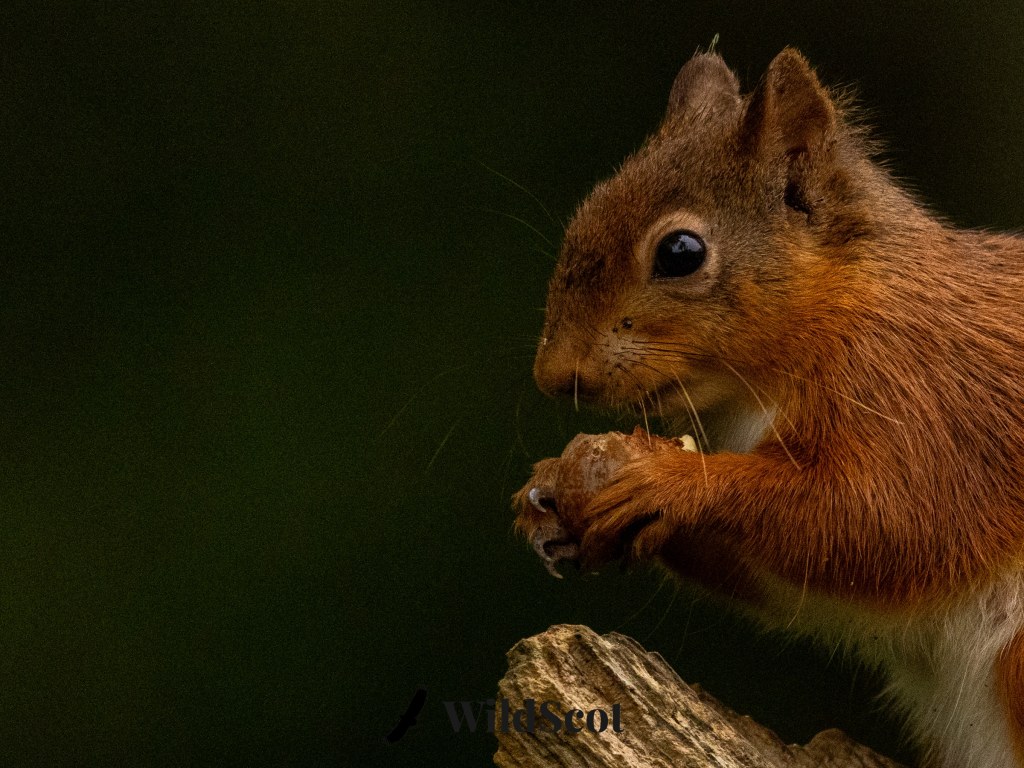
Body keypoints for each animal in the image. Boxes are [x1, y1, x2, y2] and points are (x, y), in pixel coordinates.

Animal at [513, 48, 1024, 768]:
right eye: (584, 216)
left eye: (680, 252)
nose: (555, 376)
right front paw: (552, 491)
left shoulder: (923, 399)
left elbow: (887, 520)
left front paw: (664, 479)